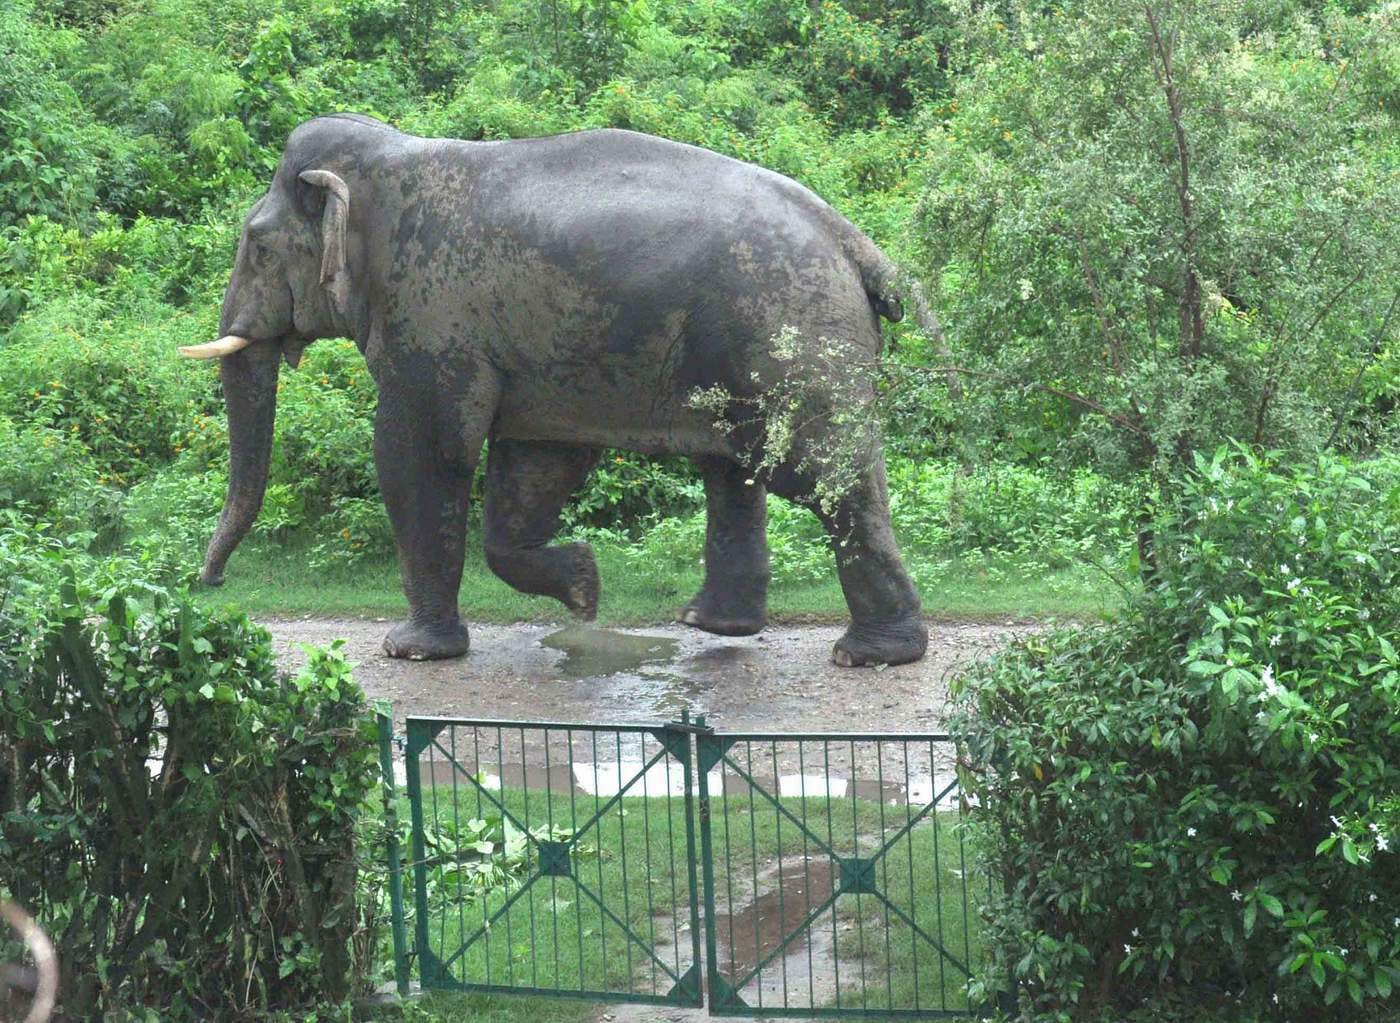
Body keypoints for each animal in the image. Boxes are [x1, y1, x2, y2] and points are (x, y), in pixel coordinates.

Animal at [180, 112, 930, 668]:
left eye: (259, 248)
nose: (211, 583)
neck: (392, 158)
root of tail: (857, 244)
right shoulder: (533, 355)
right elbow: (534, 464)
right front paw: (584, 589)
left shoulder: (431, 318)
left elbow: (422, 454)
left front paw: (411, 650)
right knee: (735, 469)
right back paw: (710, 624)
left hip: (786, 335)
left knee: (822, 475)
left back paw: (870, 654)